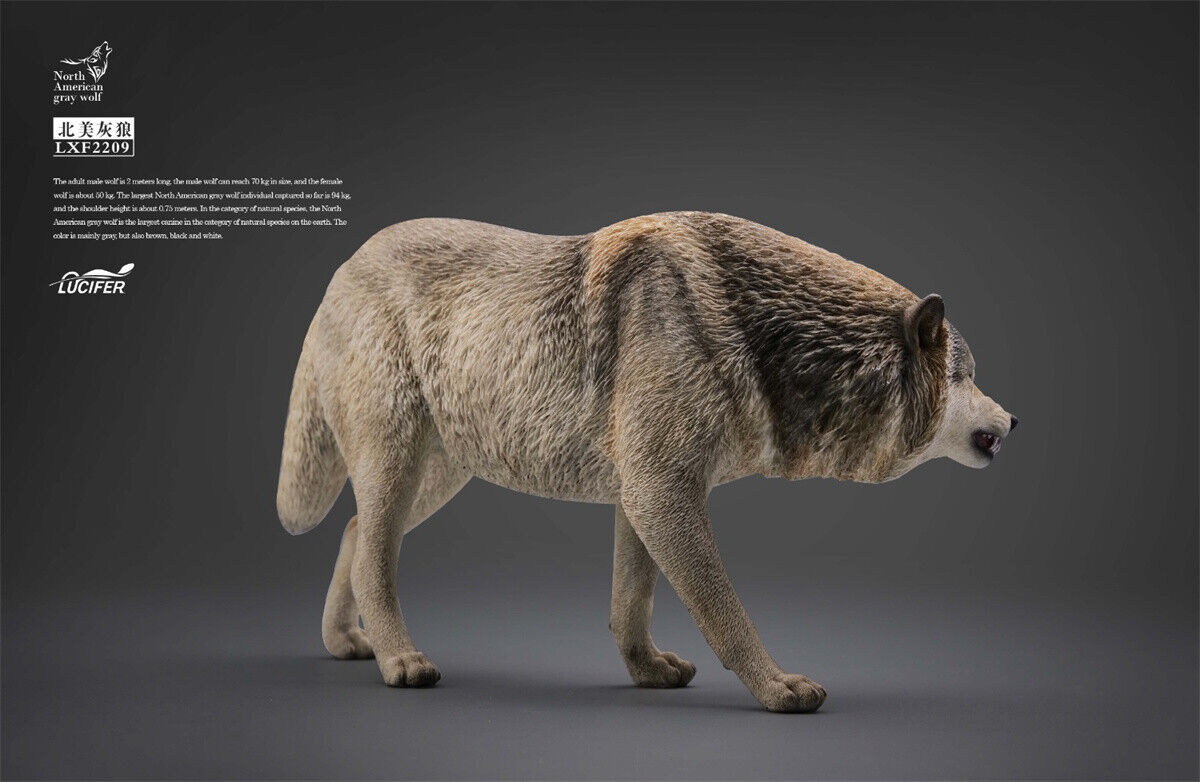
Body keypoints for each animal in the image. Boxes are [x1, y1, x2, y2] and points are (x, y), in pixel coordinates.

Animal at [277, 211, 1016, 712]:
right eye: (965, 376)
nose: (1013, 421)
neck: (753, 334)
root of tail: (341, 271)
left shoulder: (642, 494)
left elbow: (630, 604)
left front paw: (647, 672)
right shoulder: (663, 492)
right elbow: (724, 611)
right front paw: (776, 685)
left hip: (439, 477)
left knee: (353, 531)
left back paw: (347, 641)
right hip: (400, 464)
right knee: (373, 556)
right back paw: (401, 659)